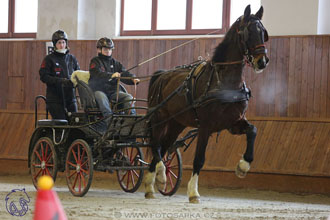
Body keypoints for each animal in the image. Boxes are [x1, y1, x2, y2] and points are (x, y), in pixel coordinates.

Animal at [146, 5, 270, 204]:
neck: (224, 82)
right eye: (248, 32)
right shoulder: (205, 126)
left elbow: (253, 130)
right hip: (159, 119)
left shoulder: (233, 123)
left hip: (175, 124)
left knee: (164, 146)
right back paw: (161, 175)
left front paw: (243, 165)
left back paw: (152, 183)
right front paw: (193, 192)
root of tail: (162, 74)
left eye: (263, 32)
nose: (262, 61)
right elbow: (199, 159)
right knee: (155, 145)